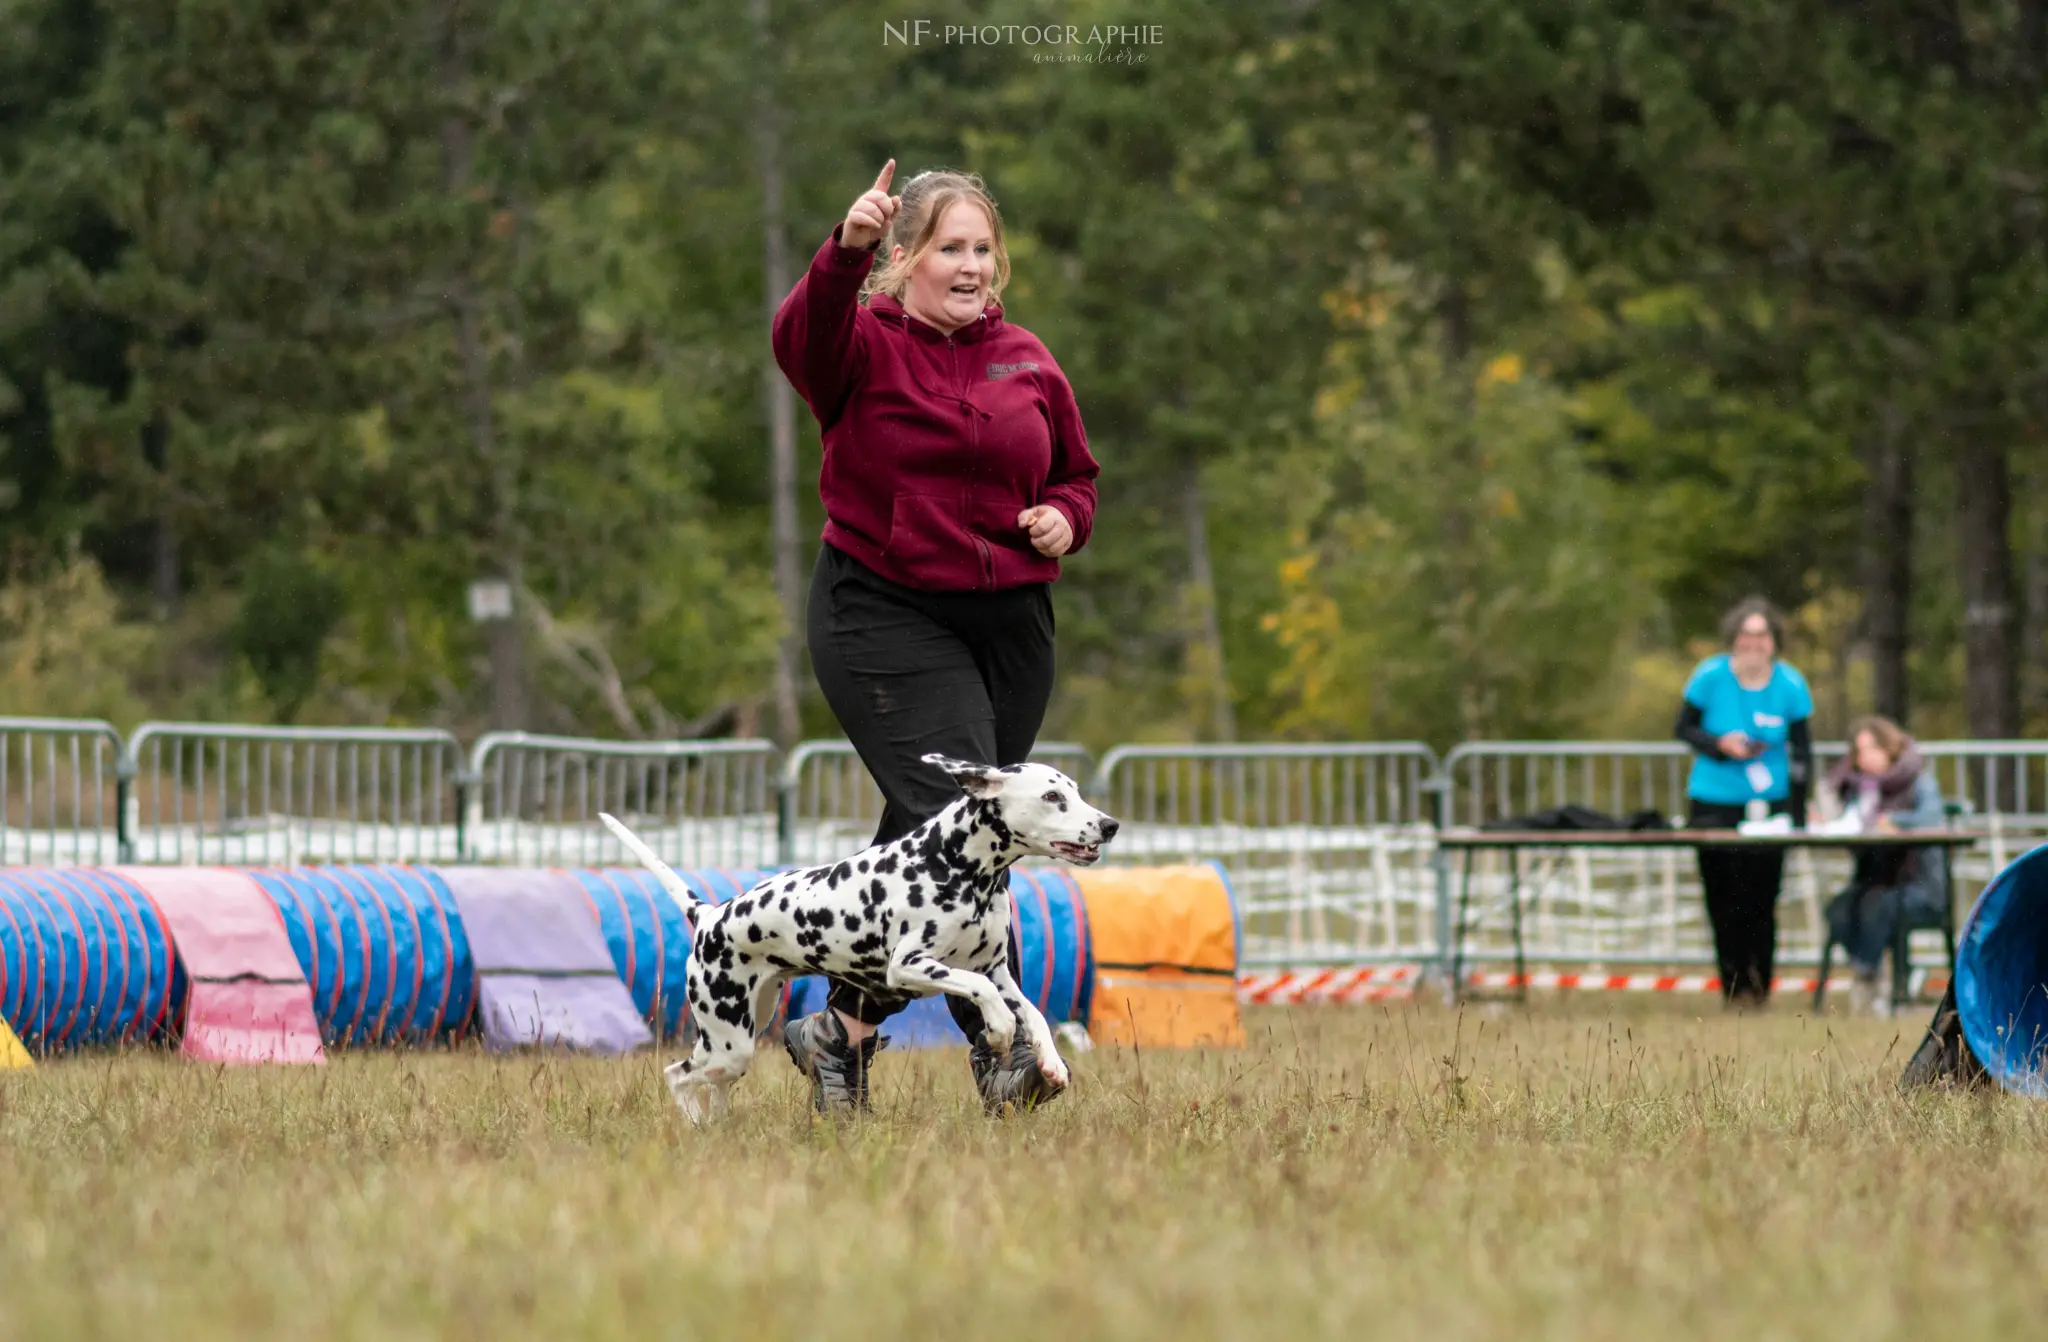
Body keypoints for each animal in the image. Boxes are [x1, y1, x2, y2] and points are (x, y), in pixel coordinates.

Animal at [598, 753, 1130, 1122]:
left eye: (1074, 791)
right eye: (1052, 798)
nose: (1110, 825)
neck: (956, 864)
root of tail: (710, 914)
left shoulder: (996, 969)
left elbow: (1033, 1014)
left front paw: (1051, 1063)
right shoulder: (910, 967)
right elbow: (981, 996)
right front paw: (998, 1028)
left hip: (741, 1031)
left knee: (711, 1083)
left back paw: (717, 1127)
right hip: (729, 1036)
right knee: (678, 1076)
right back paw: (696, 1127)